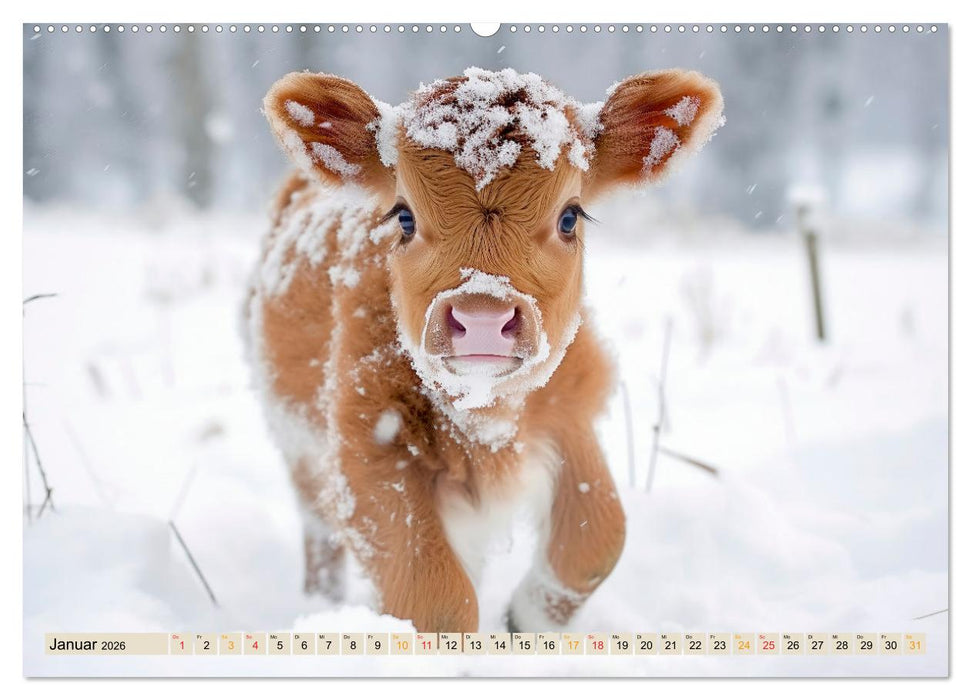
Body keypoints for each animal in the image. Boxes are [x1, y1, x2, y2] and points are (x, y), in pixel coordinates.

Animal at [244, 67, 723, 633]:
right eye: (403, 217)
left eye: (570, 216)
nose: (482, 320)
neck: (486, 418)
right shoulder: (365, 442)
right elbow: (436, 597)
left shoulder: (570, 410)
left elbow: (598, 537)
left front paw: (524, 622)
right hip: (297, 443)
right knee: (319, 533)